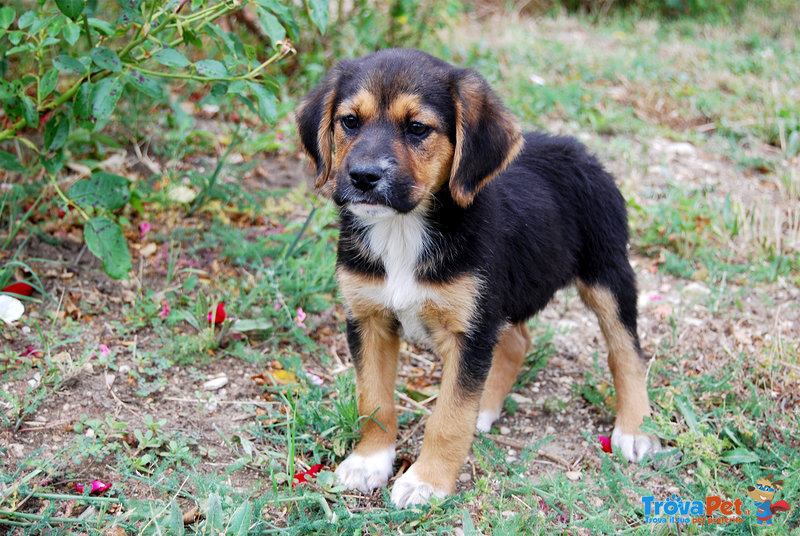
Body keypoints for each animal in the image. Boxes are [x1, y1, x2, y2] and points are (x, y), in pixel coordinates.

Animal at [296, 49, 660, 506]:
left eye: (418, 128)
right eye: (349, 121)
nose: (363, 176)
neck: (404, 229)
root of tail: (577, 149)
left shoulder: (468, 332)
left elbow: (449, 417)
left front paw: (427, 480)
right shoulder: (369, 319)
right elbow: (374, 400)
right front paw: (369, 461)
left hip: (607, 273)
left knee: (627, 352)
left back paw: (635, 429)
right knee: (517, 341)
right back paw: (485, 406)